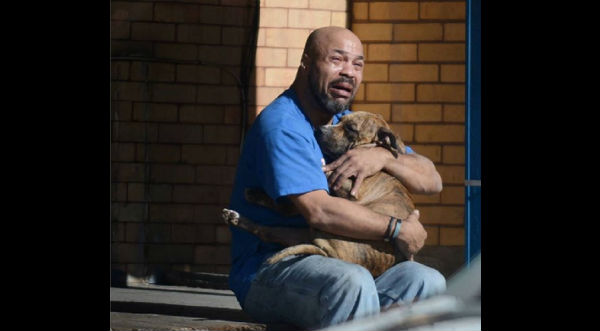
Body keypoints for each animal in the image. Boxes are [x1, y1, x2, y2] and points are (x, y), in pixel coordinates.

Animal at [223, 111, 414, 278]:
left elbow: (326, 175)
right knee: (268, 228)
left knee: (281, 214)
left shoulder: (350, 190)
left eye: (351, 128)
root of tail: (331, 254)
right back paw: (238, 215)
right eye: (339, 120)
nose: (319, 129)